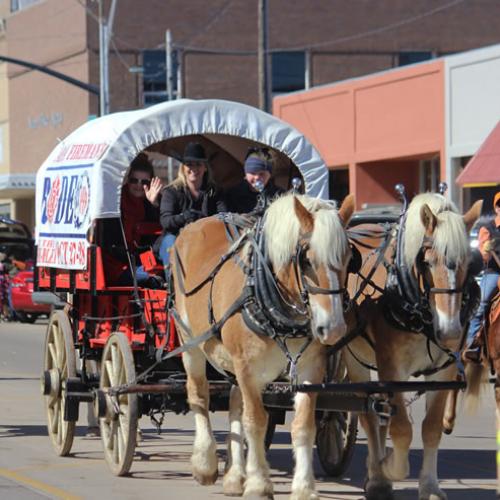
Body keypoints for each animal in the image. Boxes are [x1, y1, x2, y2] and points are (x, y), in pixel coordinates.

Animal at [172, 193, 356, 498]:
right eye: (306, 260)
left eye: (349, 258)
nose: (333, 329)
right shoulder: (247, 367)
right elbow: (256, 420)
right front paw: (258, 483)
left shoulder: (310, 369)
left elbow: (303, 425)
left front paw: (304, 487)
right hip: (190, 342)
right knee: (199, 395)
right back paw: (205, 463)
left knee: (235, 404)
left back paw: (235, 475)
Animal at [344, 193, 480, 500]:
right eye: (427, 262)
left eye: (469, 263)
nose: (450, 330)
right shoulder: (392, 368)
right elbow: (402, 429)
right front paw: (387, 468)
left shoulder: (443, 372)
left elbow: (431, 428)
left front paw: (429, 486)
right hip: (354, 358)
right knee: (368, 415)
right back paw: (377, 477)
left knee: (378, 410)